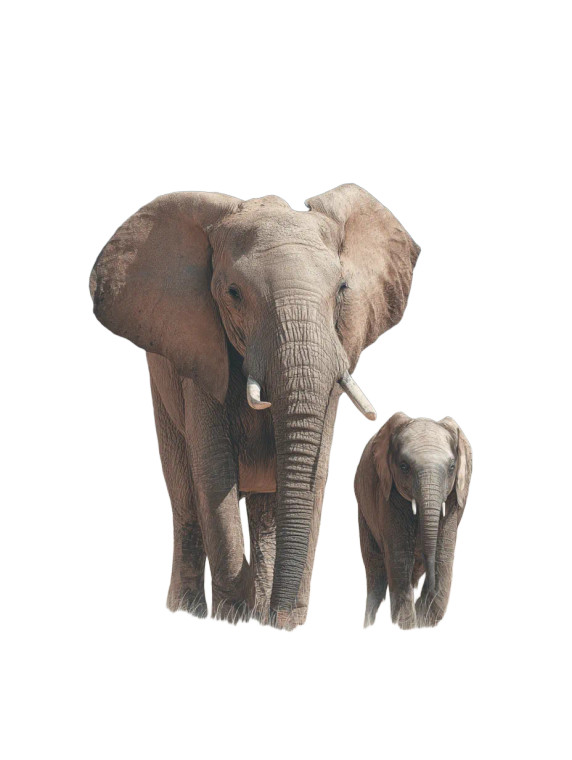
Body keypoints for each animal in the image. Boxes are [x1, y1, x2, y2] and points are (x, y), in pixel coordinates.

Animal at [90, 183, 420, 629]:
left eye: (341, 290)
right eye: (234, 293)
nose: (279, 612)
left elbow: (314, 476)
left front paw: (282, 623)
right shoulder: (199, 354)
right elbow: (214, 475)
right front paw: (231, 616)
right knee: (185, 498)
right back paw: (191, 613)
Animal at [355, 413, 472, 629]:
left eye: (452, 467)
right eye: (404, 466)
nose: (430, 589)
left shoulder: (458, 493)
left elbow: (443, 554)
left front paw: (422, 619)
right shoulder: (386, 489)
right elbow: (399, 557)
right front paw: (409, 624)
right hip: (364, 511)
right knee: (375, 571)